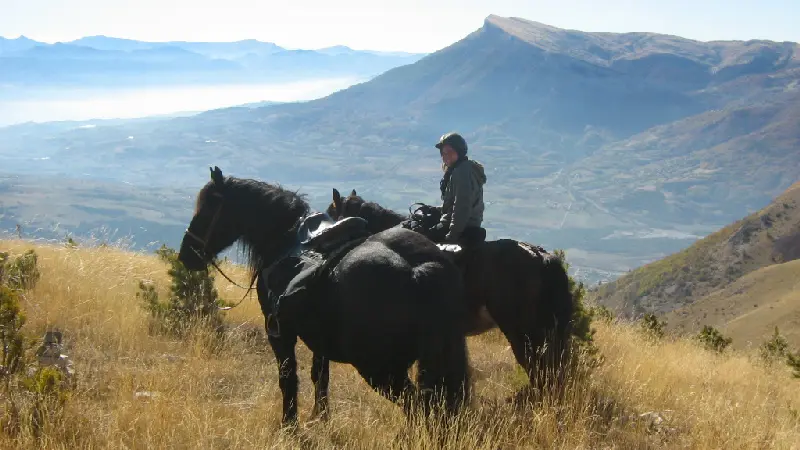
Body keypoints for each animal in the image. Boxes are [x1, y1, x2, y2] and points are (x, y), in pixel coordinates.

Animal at [178, 168, 472, 426]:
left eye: (208, 207)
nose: (186, 254)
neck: (284, 238)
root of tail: (417, 270)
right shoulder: (319, 339)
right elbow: (320, 376)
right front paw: (319, 417)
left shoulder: (279, 330)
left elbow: (288, 377)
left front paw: (290, 424)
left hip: (380, 368)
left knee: (418, 405)